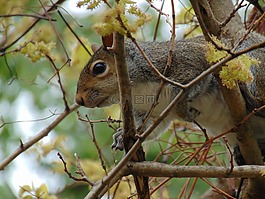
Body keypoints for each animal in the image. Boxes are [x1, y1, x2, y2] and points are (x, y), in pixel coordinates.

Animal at [75, 31, 264, 165]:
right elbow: (148, 128)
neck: (139, 89)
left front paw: (187, 113)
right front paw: (121, 135)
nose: (79, 100)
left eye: (99, 68)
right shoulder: (153, 111)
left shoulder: (194, 64)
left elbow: (187, 94)